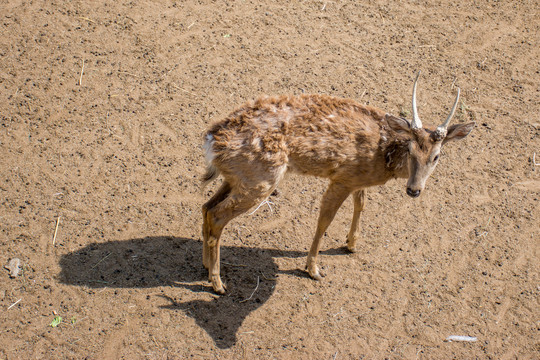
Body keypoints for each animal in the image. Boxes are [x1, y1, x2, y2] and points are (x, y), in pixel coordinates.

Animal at [200, 71, 474, 294]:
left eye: (436, 156)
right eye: (410, 150)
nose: (414, 190)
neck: (382, 154)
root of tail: (212, 141)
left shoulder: (357, 179)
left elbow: (361, 203)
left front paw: (351, 244)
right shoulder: (342, 178)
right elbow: (325, 220)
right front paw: (313, 269)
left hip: (239, 177)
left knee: (206, 206)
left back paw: (205, 265)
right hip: (261, 179)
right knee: (217, 215)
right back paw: (218, 283)